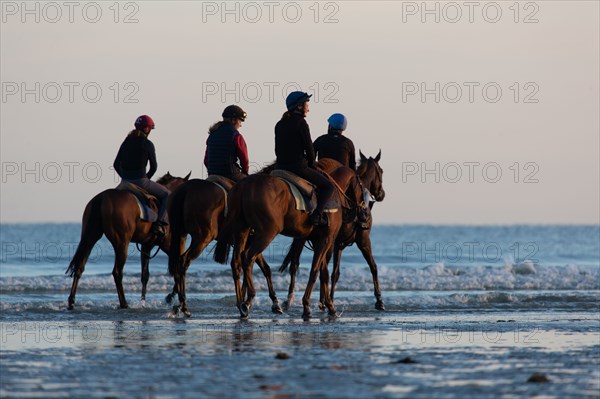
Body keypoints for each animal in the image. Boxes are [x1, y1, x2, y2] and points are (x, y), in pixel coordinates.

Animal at [65, 172, 189, 310]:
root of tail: (102, 198)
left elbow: (145, 275)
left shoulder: (146, 246)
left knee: (79, 267)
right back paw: (124, 303)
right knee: (117, 272)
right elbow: (178, 268)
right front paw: (175, 297)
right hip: (121, 243)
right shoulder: (167, 245)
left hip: (90, 238)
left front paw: (143, 301)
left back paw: (71, 301)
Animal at [166, 179, 284, 318]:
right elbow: (252, 269)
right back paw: (183, 304)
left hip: (181, 235)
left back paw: (179, 303)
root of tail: (187, 188)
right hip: (203, 237)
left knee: (178, 262)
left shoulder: (250, 245)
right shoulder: (252, 244)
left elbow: (264, 269)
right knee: (184, 260)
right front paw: (247, 303)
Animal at [211, 162, 360, 318]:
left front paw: (329, 305)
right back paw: (249, 300)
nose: (364, 213)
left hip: (242, 230)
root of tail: (244, 185)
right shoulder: (326, 239)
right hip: (266, 233)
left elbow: (322, 272)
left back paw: (242, 304)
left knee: (237, 262)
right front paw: (307, 306)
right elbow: (314, 271)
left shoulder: (318, 240)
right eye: (362, 185)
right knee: (248, 257)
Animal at [278, 152, 386, 310]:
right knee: (304, 265)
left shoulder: (337, 244)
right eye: (381, 171)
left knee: (296, 264)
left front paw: (328, 299)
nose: (381, 194)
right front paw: (379, 300)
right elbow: (373, 267)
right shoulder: (363, 241)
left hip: (305, 239)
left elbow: (335, 273)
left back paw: (290, 299)